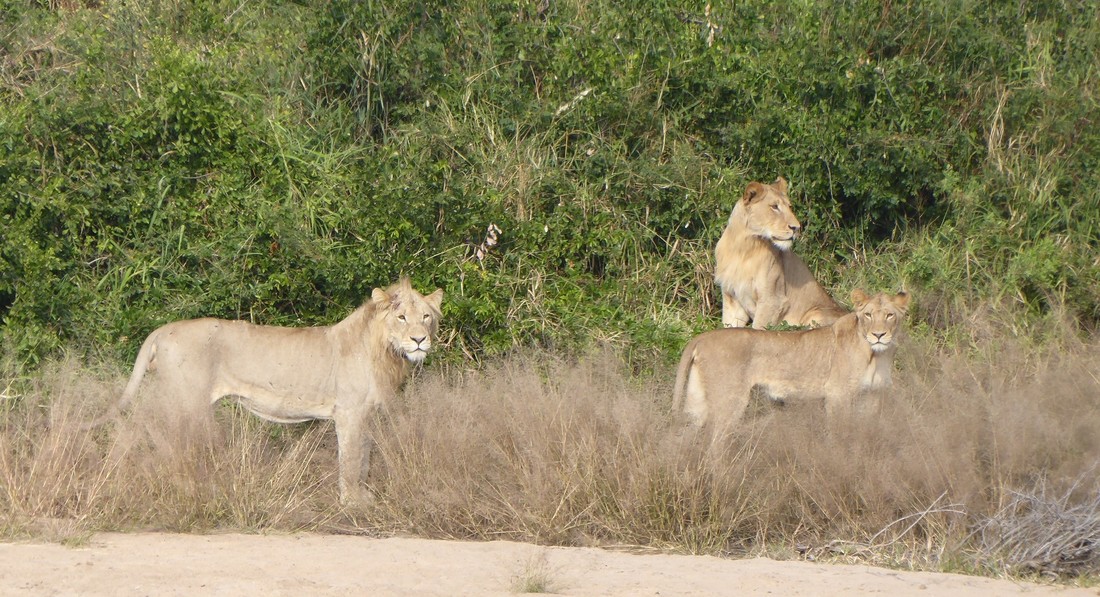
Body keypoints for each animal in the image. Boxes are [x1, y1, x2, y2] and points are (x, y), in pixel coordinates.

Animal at [89, 277, 443, 505]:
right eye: (402, 317)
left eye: (426, 317)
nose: (419, 340)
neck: (384, 351)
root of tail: (162, 330)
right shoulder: (349, 412)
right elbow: (352, 458)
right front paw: (351, 501)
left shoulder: (366, 413)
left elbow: (365, 456)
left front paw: (363, 496)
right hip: (183, 399)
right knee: (155, 434)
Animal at [672, 289, 909, 428]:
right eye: (868, 315)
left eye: (889, 315)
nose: (878, 335)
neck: (876, 355)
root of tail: (701, 337)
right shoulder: (838, 394)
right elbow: (839, 435)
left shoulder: (872, 397)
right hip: (730, 400)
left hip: (697, 402)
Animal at [714, 177, 847, 329]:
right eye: (774, 207)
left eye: (789, 207)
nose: (796, 228)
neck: (743, 247)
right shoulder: (732, 300)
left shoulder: (773, 300)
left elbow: (758, 329)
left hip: (815, 315)